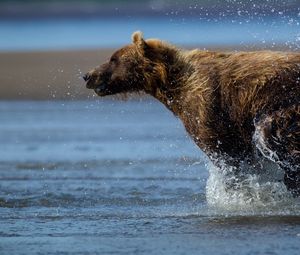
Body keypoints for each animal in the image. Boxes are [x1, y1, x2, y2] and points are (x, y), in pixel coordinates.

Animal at [83, 30, 300, 196]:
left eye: (114, 59)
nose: (87, 75)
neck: (171, 84)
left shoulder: (207, 107)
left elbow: (227, 154)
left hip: (284, 106)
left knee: (272, 135)